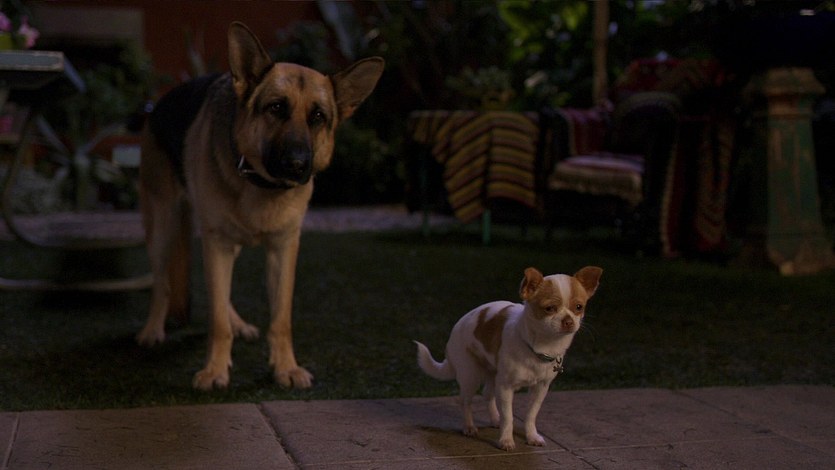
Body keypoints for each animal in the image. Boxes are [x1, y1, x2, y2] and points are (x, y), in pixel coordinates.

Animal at [135, 21, 384, 391]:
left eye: (318, 117)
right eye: (276, 108)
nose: (297, 164)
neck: (261, 185)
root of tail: (159, 103)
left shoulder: (282, 249)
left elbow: (280, 318)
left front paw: (285, 367)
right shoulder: (218, 244)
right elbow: (216, 320)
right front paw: (215, 369)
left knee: (218, 295)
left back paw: (238, 324)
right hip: (163, 228)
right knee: (162, 284)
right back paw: (153, 330)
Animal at [415, 266, 602, 451]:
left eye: (579, 307)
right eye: (549, 308)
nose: (569, 321)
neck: (542, 346)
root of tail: (455, 328)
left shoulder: (540, 388)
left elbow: (531, 414)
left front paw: (531, 436)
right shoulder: (506, 387)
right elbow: (509, 417)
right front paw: (506, 440)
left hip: (493, 373)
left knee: (487, 395)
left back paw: (494, 419)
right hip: (470, 375)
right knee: (465, 401)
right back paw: (469, 427)